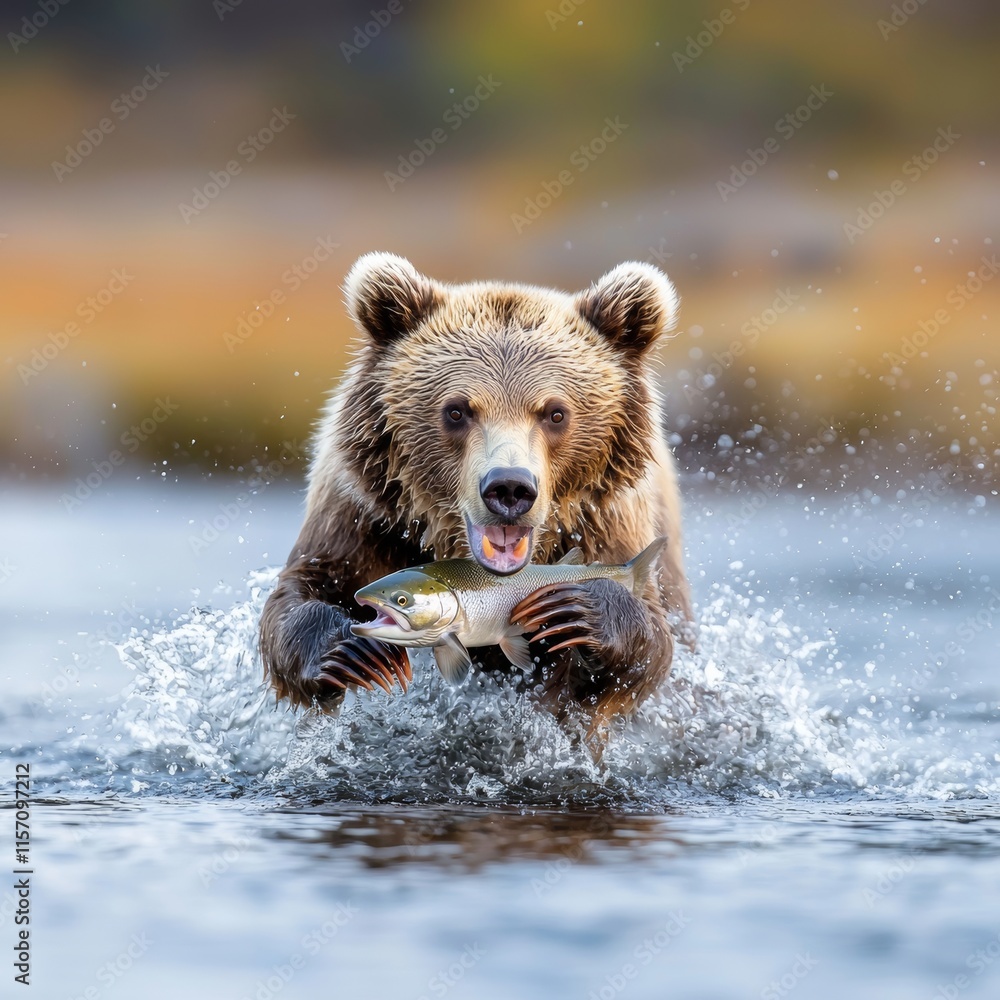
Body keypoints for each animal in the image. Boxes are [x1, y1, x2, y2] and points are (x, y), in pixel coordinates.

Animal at [259, 252, 692, 738]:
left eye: (555, 412)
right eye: (456, 410)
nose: (510, 486)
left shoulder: (608, 521)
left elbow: (647, 650)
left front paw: (579, 610)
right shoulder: (364, 515)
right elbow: (303, 589)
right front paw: (352, 652)